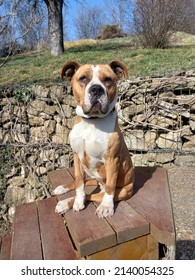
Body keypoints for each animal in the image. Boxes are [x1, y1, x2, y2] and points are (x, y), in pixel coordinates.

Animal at [54, 60, 135, 219]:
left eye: (108, 80)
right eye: (83, 78)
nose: (96, 89)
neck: (92, 122)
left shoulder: (112, 160)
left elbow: (109, 187)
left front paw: (106, 207)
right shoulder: (77, 156)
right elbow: (79, 181)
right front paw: (78, 201)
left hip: (122, 190)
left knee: (96, 194)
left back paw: (65, 202)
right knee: (85, 183)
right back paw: (63, 190)